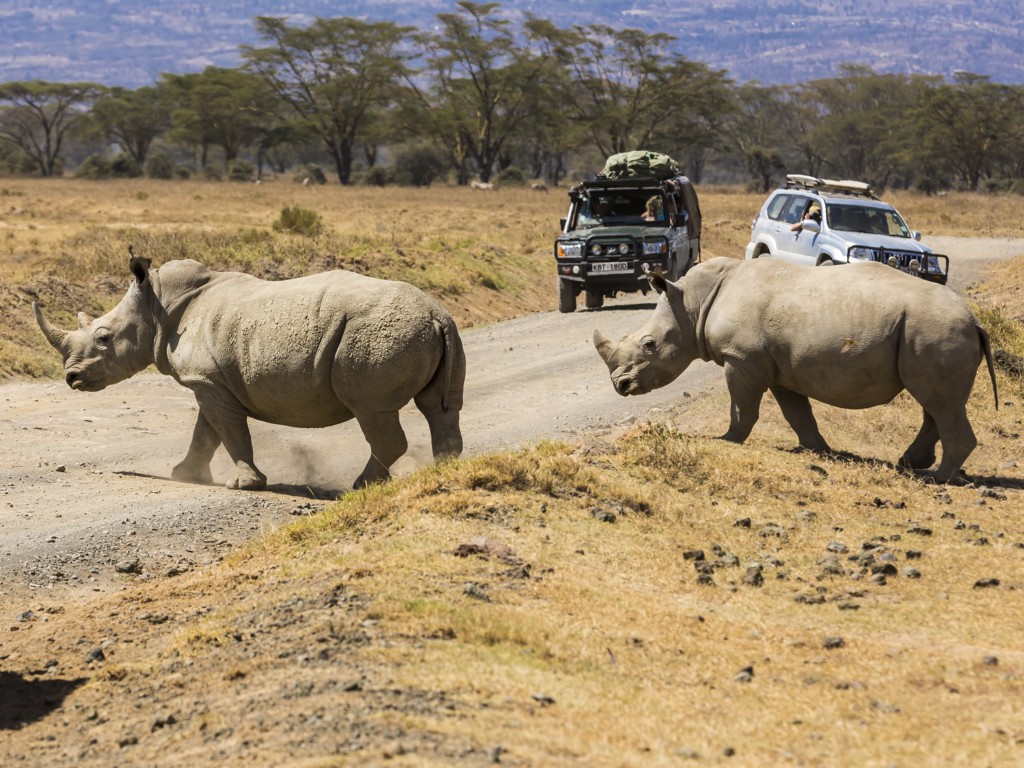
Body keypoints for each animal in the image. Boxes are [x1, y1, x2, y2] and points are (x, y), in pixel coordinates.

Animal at [32, 256, 464, 489]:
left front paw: (242, 485)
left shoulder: (207, 380)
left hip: (374, 335)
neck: (157, 308)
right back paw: (443, 471)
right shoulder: (209, 381)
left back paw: (361, 487)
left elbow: (229, 431)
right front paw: (184, 475)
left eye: (103, 338)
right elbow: (207, 431)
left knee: (372, 410)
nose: (71, 378)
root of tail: (436, 313)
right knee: (439, 409)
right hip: (438, 331)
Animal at [598, 259, 995, 487]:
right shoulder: (776, 367)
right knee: (935, 402)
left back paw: (937, 479)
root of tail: (975, 321)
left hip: (934, 329)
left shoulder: (741, 358)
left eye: (649, 344)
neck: (694, 303)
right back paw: (911, 464)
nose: (620, 385)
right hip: (928, 332)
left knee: (940, 403)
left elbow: (742, 408)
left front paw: (726, 440)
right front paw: (816, 450)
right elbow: (797, 413)